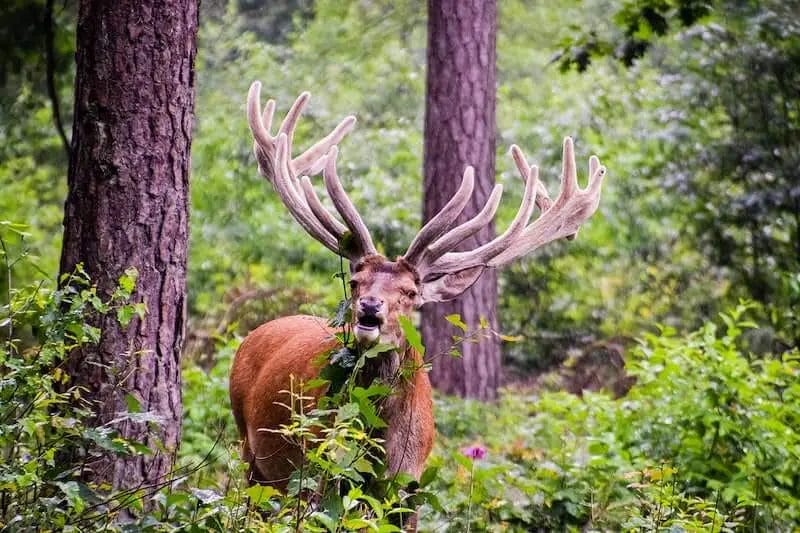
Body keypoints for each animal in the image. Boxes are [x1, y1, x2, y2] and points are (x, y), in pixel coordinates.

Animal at [229, 81, 606, 529]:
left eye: (411, 293)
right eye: (355, 281)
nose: (369, 309)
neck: (380, 448)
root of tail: (253, 335)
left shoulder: (408, 488)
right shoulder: (318, 473)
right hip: (252, 453)